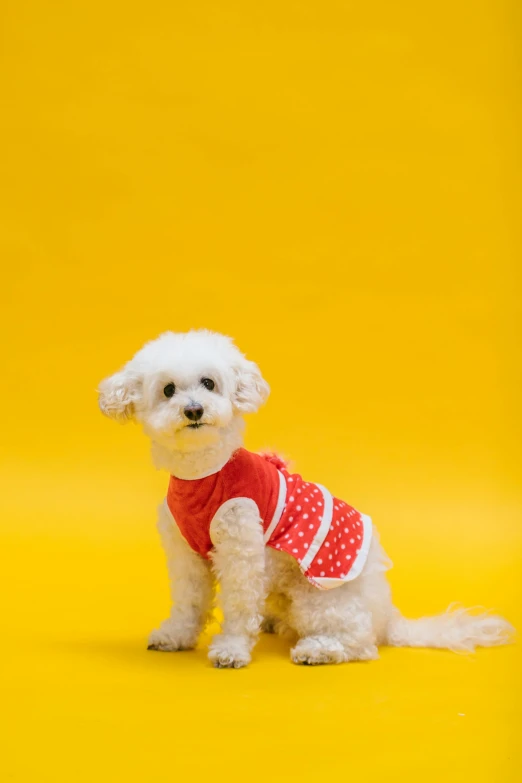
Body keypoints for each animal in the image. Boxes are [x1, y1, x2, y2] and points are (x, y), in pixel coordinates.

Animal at [98, 330, 512, 668]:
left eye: (208, 383)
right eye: (168, 390)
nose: (194, 409)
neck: (204, 473)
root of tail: (387, 617)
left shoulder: (241, 551)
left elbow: (238, 604)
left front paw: (231, 649)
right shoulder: (186, 554)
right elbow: (189, 600)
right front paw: (177, 635)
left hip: (317, 597)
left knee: (361, 643)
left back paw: (319, 649)